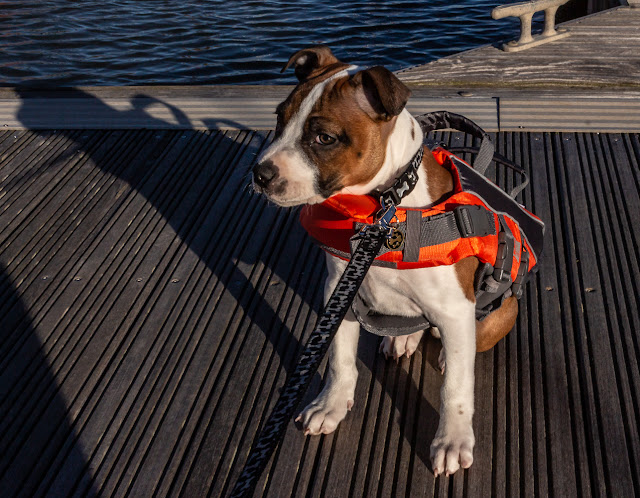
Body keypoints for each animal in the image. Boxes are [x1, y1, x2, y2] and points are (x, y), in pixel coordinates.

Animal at [252, 47, 516, 478]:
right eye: (279, 119)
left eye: (324, 138)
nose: (259, 174)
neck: (382, 208)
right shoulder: (339, 291)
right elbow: (340, 356)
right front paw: (331, 403)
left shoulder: (455, 307)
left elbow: (456, 388)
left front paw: (453, 438)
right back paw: (403, 338)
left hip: (498, 312)